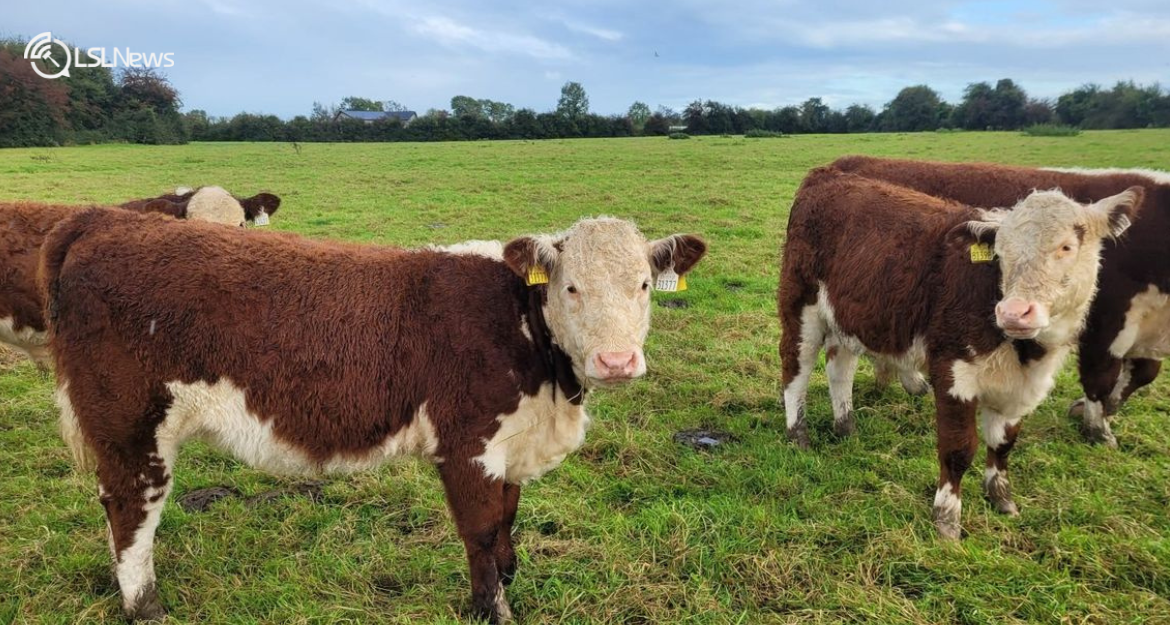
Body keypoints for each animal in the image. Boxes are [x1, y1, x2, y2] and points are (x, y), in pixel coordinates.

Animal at [38, 211, 702, 625]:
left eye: (645, 285)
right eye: (571, 288)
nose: (616, 361)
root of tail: (98, 221)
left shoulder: (510, 444)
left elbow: (508, 519)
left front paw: (510, 578)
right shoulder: (466, 444)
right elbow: (481, 531)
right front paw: (493, 608)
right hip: (131, 425)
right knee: (133, 511)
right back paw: (145, 606)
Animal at [781, 165, 1137, 538]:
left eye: (1066, 247)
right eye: (1000, 254)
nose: (1013, 312)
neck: (1025, 353)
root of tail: (827, 174)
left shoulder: (1021, 389)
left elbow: (1003, 443)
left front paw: (1001, 497)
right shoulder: (954, 372)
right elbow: (958, 449)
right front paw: (947, 518)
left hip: (849, 317)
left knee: (840, 370)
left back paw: (846, 426)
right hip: (800, 304)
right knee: (795, 368)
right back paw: (798, 434)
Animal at [833, 156, 1170, 451]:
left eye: (1066, 247)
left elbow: (1143, 373)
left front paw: (1099, 412)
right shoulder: (1106, 326)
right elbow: (1100, 378)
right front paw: (1099, 431)